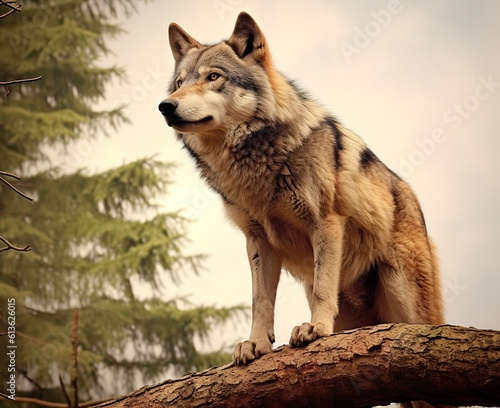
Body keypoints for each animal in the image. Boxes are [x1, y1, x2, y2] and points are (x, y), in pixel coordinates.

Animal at [158, 11, 444, 404]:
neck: (255, 163)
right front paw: (255, 345)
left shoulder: (325, 222)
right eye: (179, 83)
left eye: (213, 77)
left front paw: (316, 328)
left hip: (407, 309)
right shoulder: (258, 241)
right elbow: (260, 300)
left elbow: (323, 287)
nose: (166, 105)